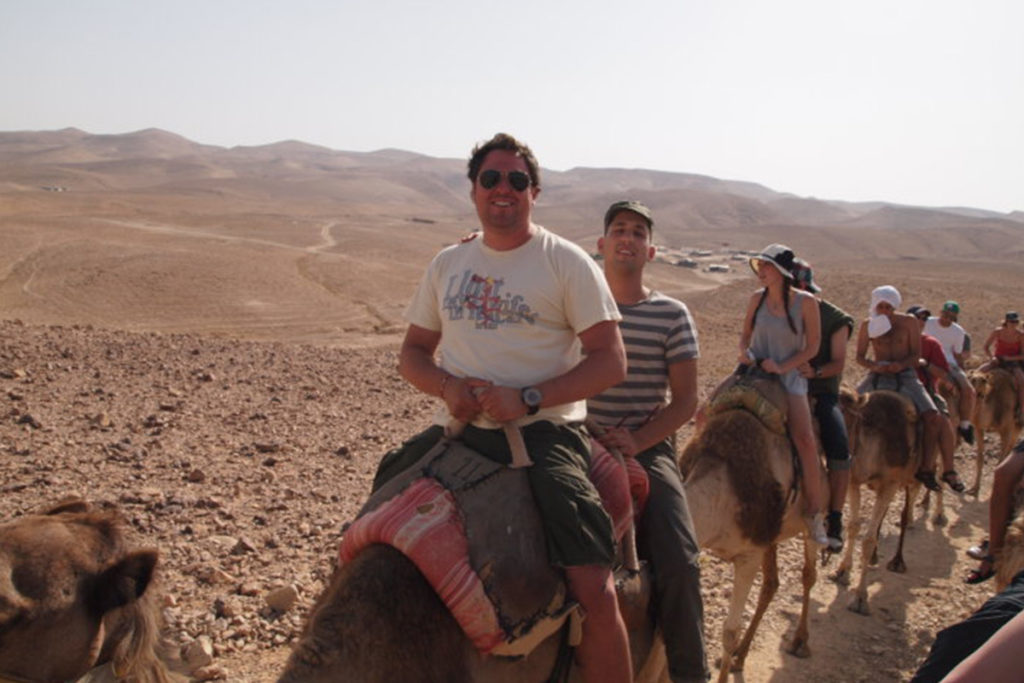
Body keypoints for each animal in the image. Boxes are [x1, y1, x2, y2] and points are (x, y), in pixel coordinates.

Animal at [684, 378, 819, 683]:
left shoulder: (749, 555)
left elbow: (729, 631)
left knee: (809, 574)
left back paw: (801, 641)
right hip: (773, 535)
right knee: (771, 584)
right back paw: (741, 656)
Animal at [835, 389, 925, 614]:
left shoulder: (890, 483)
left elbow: (868, 540)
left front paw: (860, 598)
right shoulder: (853, 479)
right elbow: (853, 526)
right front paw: (843, 570)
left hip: (914, 473)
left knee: (912, 496)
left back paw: (898, 560)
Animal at [962, 368, 1019, 497]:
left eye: (983, 380)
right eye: (970, 377)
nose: (973, 384)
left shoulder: (1007, 429)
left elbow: (1000, 462)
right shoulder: (979, 428)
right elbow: (980, 458)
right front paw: (974, 489)